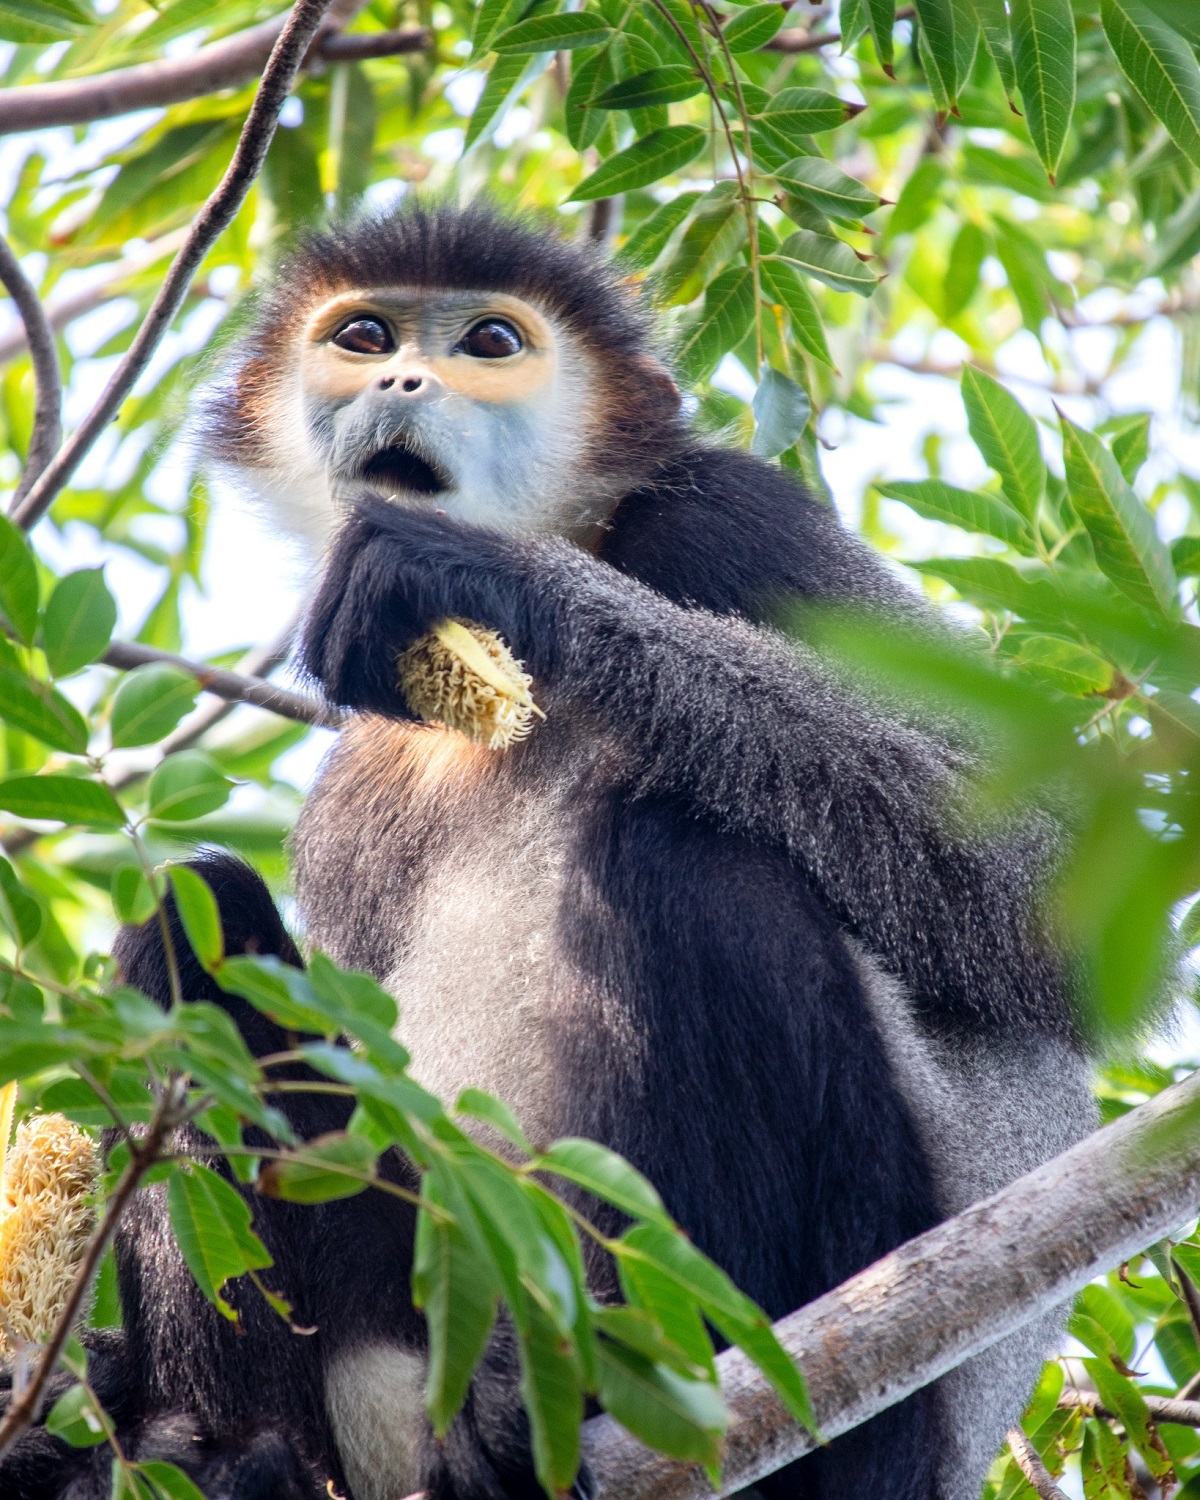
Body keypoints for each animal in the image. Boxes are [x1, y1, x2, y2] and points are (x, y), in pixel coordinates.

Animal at [0, 199, 1104, 1500]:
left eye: (491, 340)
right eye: (365, 335)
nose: (407, 376)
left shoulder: (731, 513)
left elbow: (1052, 890)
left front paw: (496, 580)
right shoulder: (357, 777)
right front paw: (115, 1392)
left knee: (686, 861)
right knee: (191, 916)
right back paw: (216, 1451)